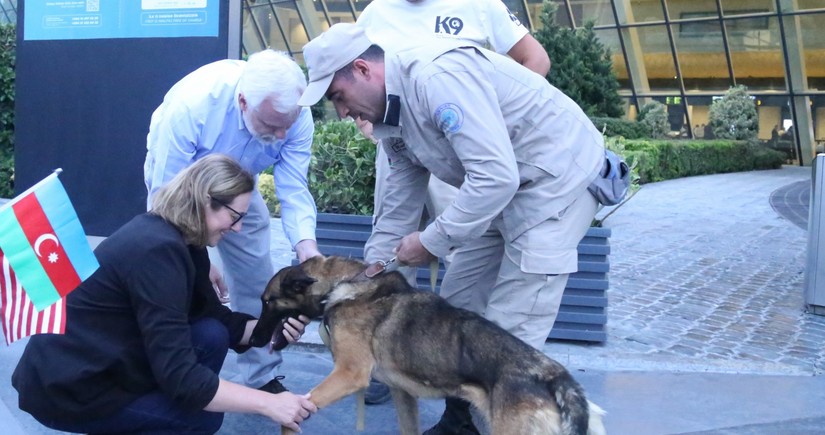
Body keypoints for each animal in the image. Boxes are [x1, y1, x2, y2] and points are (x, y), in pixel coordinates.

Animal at [249, 258, 604, 434]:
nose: (250, 340)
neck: (347, 282)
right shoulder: (403, 393)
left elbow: (294, 414)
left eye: (267, 302)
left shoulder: (349, 375)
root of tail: (554, 376)